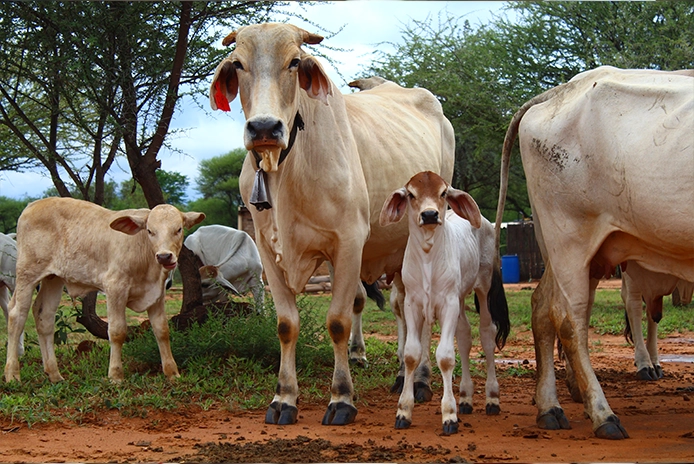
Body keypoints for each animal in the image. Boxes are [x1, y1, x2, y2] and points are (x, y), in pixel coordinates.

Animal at [4, 197, 205, 383]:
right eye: (150, 231)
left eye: (178, 229)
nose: (164, 256)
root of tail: (32, 205)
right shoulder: (115, 288)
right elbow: (117, 331)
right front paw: (115, 375)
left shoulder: (156, 294)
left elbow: (162, 330)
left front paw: (172, 373)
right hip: (27, 275)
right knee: (16, 315)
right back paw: (12, 373)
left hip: (53, 279)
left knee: (44, 317)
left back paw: (54, 374)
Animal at [209, 23, 455, 425]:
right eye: (239, 64)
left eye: (294, 62)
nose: (264, 127)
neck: (286, 169)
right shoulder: (268, 251)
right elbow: (286, 324)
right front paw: (284, 398)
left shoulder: (349, 242)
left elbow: (339, 321)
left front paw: (341, 397)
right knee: (403, 306)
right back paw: (402, 375)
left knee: (418, 311)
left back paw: (419, 381)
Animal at [380, 171, 510, 435]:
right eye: (411, 194)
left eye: (443, 193)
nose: (429, 214)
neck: (428, 255)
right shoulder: (413, 305)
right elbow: (411, 354)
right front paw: (404, 411)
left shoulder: (448, 304)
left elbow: (446, 357)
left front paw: (449, 414)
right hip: (459, 300)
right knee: (465, 335)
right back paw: (466, 398)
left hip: (483, 287)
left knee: (487, 334)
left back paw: (492, 398)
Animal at [495, 66, 694, 439]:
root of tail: (561, 90)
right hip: (570, 237)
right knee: (570, 319)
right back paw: (603, 414)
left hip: (575, 248)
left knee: (543, 308)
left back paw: (550, 407)